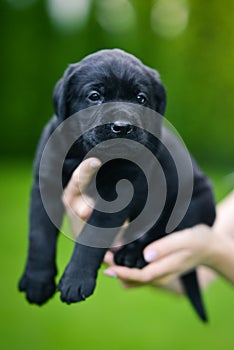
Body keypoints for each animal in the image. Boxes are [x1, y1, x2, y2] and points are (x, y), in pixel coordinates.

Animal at [18, 48, 216, 320]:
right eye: (94, 96)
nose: (122, 127)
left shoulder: (118, 195)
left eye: (141, 98)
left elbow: (92, 237)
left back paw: (132, 255)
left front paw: (76, 280)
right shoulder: (45, 183)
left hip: (193, 201)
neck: (85, 153)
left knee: (158, 228)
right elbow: (39, 235)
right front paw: (37, 282)